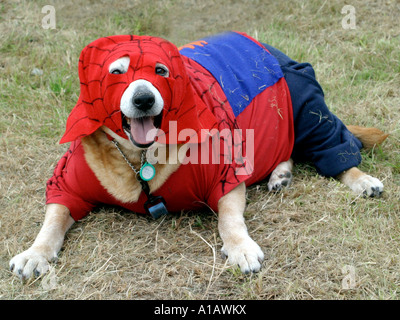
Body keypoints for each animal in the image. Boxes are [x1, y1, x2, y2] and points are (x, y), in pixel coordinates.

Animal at [10, 31, 388, 278]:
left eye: (160, 71)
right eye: (116, 73)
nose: (144, 99)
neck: (138, 158)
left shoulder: (227, 176)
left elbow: (229, 220)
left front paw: (240, 246)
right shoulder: (67, 185)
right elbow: (52, 220)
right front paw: (35, 252)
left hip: (305, 107)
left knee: (335, 148)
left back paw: (360, 179)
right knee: (287, 149)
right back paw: (281, 173)